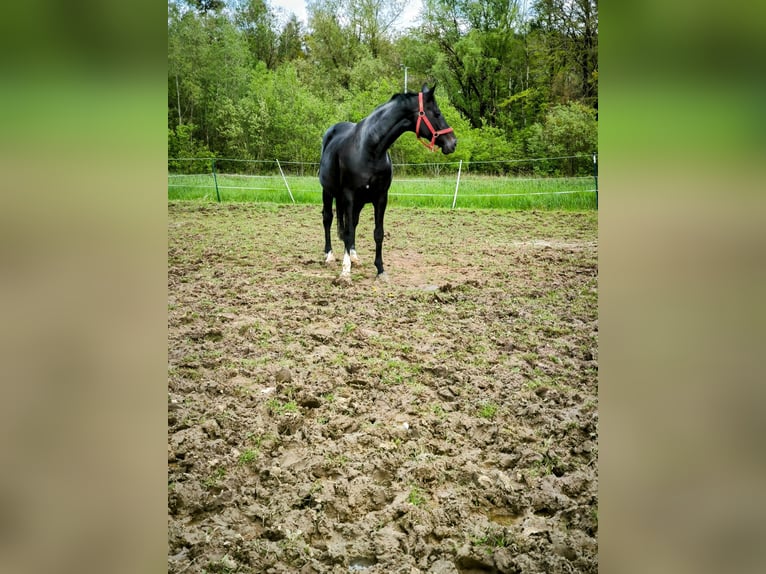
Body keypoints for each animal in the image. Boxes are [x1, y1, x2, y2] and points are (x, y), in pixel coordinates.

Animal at [318, 84, 456, 284]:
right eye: (437, 113)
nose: (453, 142)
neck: (369, 149)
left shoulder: (380, 197)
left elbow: (377, 233)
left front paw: (380, 270)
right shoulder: (349, 196)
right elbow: (348, 232)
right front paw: (345, 273)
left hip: (359, 202)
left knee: (353, 224)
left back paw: (354, 257)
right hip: (328, 192)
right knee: (328, 219)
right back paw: (329, 256)